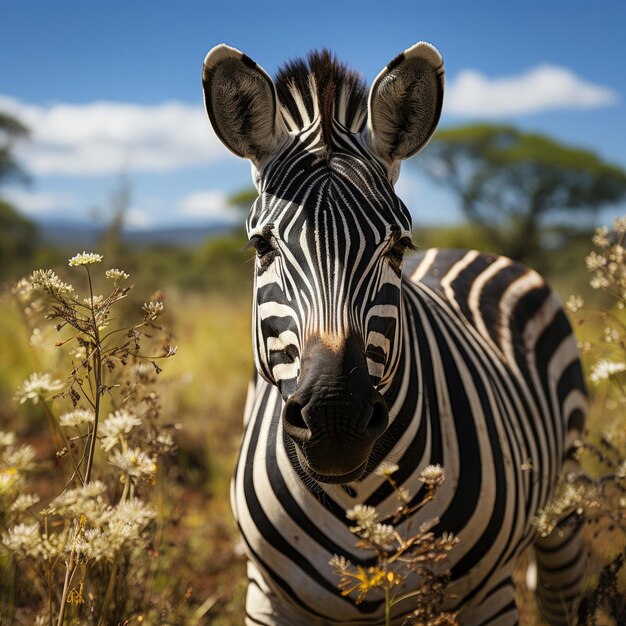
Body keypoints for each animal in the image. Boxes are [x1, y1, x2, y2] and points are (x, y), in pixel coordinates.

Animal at [200, 41, 584, 620]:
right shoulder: (264, 598)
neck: (356, 496)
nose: (335, 418)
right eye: (262, 246)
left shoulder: (490, 596)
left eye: (398, 246)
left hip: (563, 511)